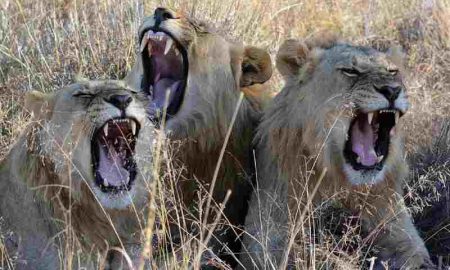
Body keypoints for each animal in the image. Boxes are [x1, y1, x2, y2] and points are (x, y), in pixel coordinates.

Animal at [243, 34, 436, 270]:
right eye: (350, 71)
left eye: (393, 71)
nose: (392, 90)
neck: (343, 183)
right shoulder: (265, 234)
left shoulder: (395, 225)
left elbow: (416, 256)